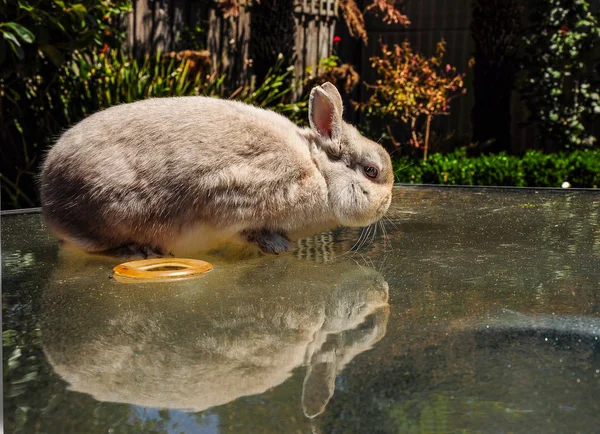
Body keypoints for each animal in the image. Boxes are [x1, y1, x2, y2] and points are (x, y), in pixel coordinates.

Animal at [41, 83, 394, 256]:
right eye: (371, 171)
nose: (387, 204)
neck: (318, 171)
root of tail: (49, 196)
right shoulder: (235, 201)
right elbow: (250, 229)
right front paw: (278, 247)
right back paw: (138, 252)